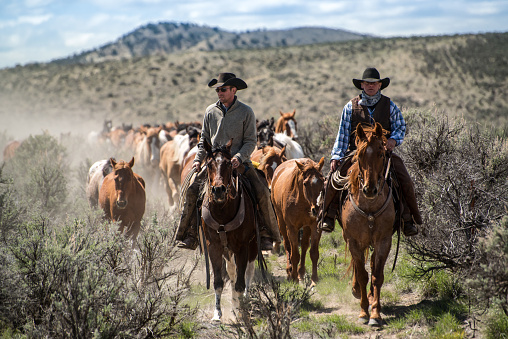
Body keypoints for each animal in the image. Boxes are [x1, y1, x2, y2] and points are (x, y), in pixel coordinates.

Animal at [200, 139, 258, 322]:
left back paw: (244, 300)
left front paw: (240, 313)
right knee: (232, 271)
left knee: (249, 270)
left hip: (253, 244)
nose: (218, 190)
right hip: (228, 250)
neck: (222, 212)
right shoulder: (214, 247)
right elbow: (219, 281)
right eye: (209, 164)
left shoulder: (242, 247)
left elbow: (240, 282)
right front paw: (217, 313)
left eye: (229, 164)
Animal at [272, 158, 324, 286]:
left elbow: (314, 253)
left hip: (306, 227)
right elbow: (295, 254)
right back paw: (290, 271)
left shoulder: (315, 226)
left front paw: (314, 280)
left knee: (304, 245)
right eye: (305, 183)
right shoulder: (292, 228)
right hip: (281, 222)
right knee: (287, 245)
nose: (317, 209)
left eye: (322, 180)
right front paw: (294, 278)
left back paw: (300, 272)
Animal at [342, 123, 396, 328]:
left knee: (372, 265)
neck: (369, 208)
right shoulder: (354, 242)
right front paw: (364, 312)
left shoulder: (384, 241)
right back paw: (357, 289)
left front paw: (375, 313)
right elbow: (362, 274)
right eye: (359, 155)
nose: (370, 189)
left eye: (381, 153)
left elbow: (376, 276)